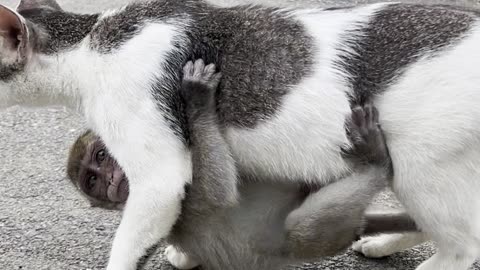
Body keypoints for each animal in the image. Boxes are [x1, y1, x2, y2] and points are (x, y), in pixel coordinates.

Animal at [67, 60, 416, 268]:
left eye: (100, 158)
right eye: (92, 181)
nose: (111, 180)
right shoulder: (178, 196)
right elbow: (218, 194)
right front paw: (198, 100)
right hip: (312, 241)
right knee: (298, 230)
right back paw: (375, 162)